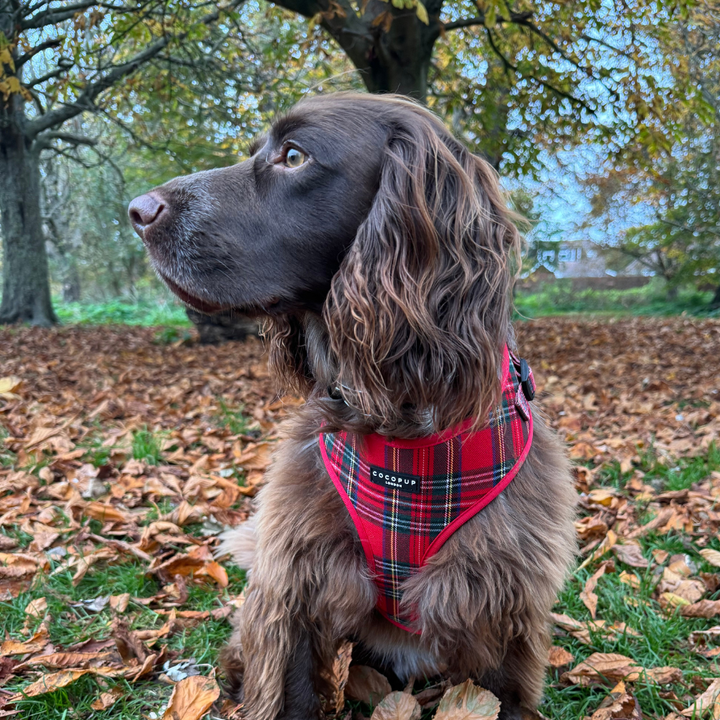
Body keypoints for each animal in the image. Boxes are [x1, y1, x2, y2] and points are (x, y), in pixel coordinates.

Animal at [129, 93, 576, 720]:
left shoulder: (500, 598)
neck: (401, 422)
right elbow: (287, 693)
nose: (136, 210)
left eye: (294, 155)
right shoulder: (295, 583)